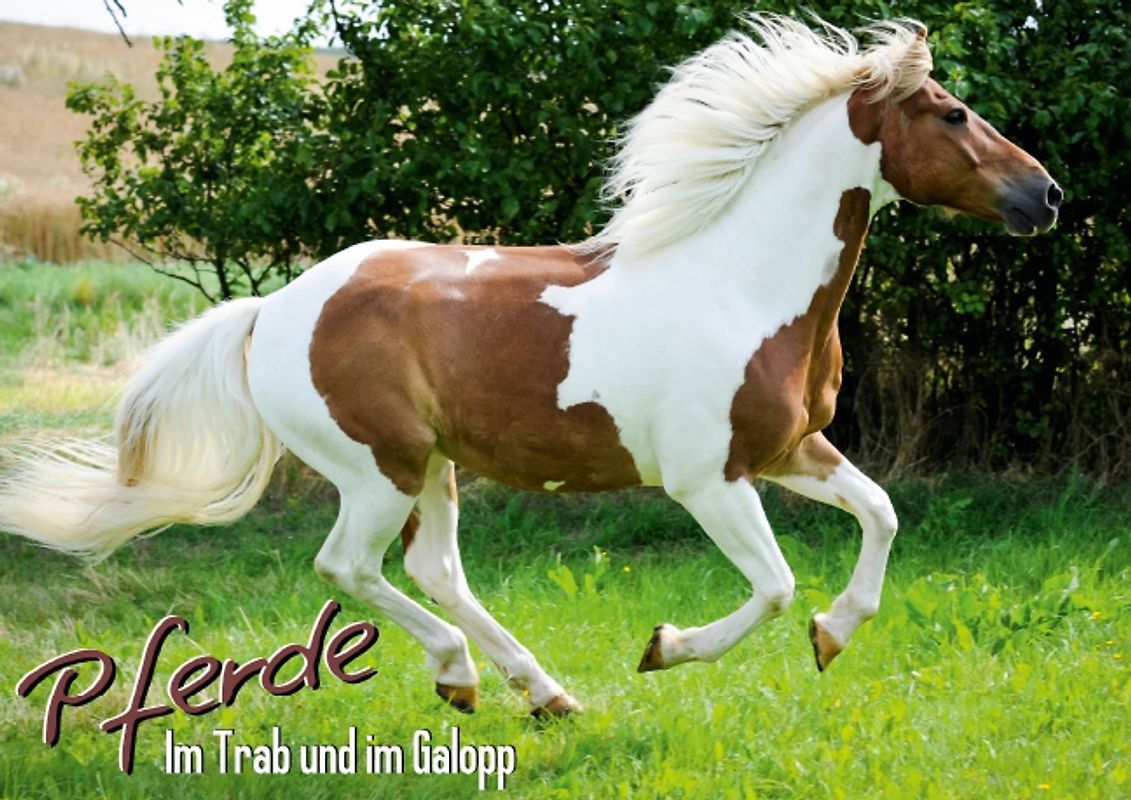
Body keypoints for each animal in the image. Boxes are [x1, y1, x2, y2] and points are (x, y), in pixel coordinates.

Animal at [0, 17, 1059, 717]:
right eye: (952, 113)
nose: (1044, 196)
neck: (743, 280)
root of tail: (273, 312)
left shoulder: (793, 450)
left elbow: (880, 516)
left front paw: (832, 638)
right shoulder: (708, 480)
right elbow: (771, 588)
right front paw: (662, 648)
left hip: (433, 467)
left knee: (431, 568)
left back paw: (539, 692)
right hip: (378, 468)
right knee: (350, 566)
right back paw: (468, 677)